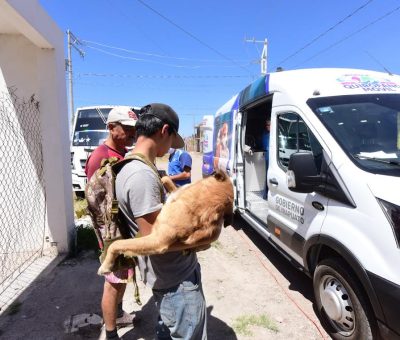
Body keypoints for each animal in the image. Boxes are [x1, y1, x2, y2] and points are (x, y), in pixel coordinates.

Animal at [97, 169, 234, 274]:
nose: (227, 221)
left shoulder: (157, 240)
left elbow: (117, 244)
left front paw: (106, 266)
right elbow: (168, 180)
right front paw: (163, 176)